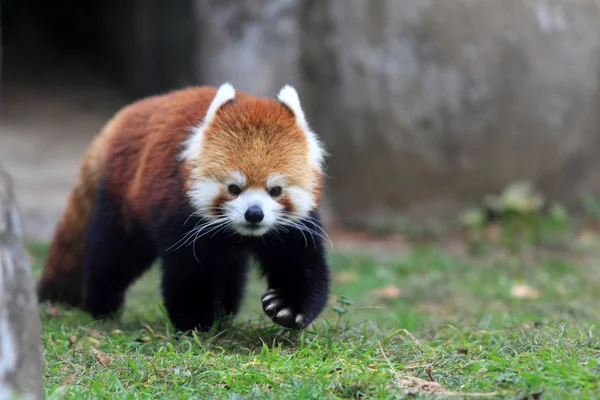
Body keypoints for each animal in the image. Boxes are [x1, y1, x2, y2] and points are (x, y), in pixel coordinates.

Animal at [36, 82, 332, 332]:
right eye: (234, 188)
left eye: (275, 190)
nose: (254, 214)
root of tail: (120, 119)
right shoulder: (180, 213)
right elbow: (189, 271)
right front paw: (195, 322)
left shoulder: (293, 228)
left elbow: (301, 264)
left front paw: (286, 308)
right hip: (122, 197)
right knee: (113, 254)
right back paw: (102, 307)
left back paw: (226, 310)